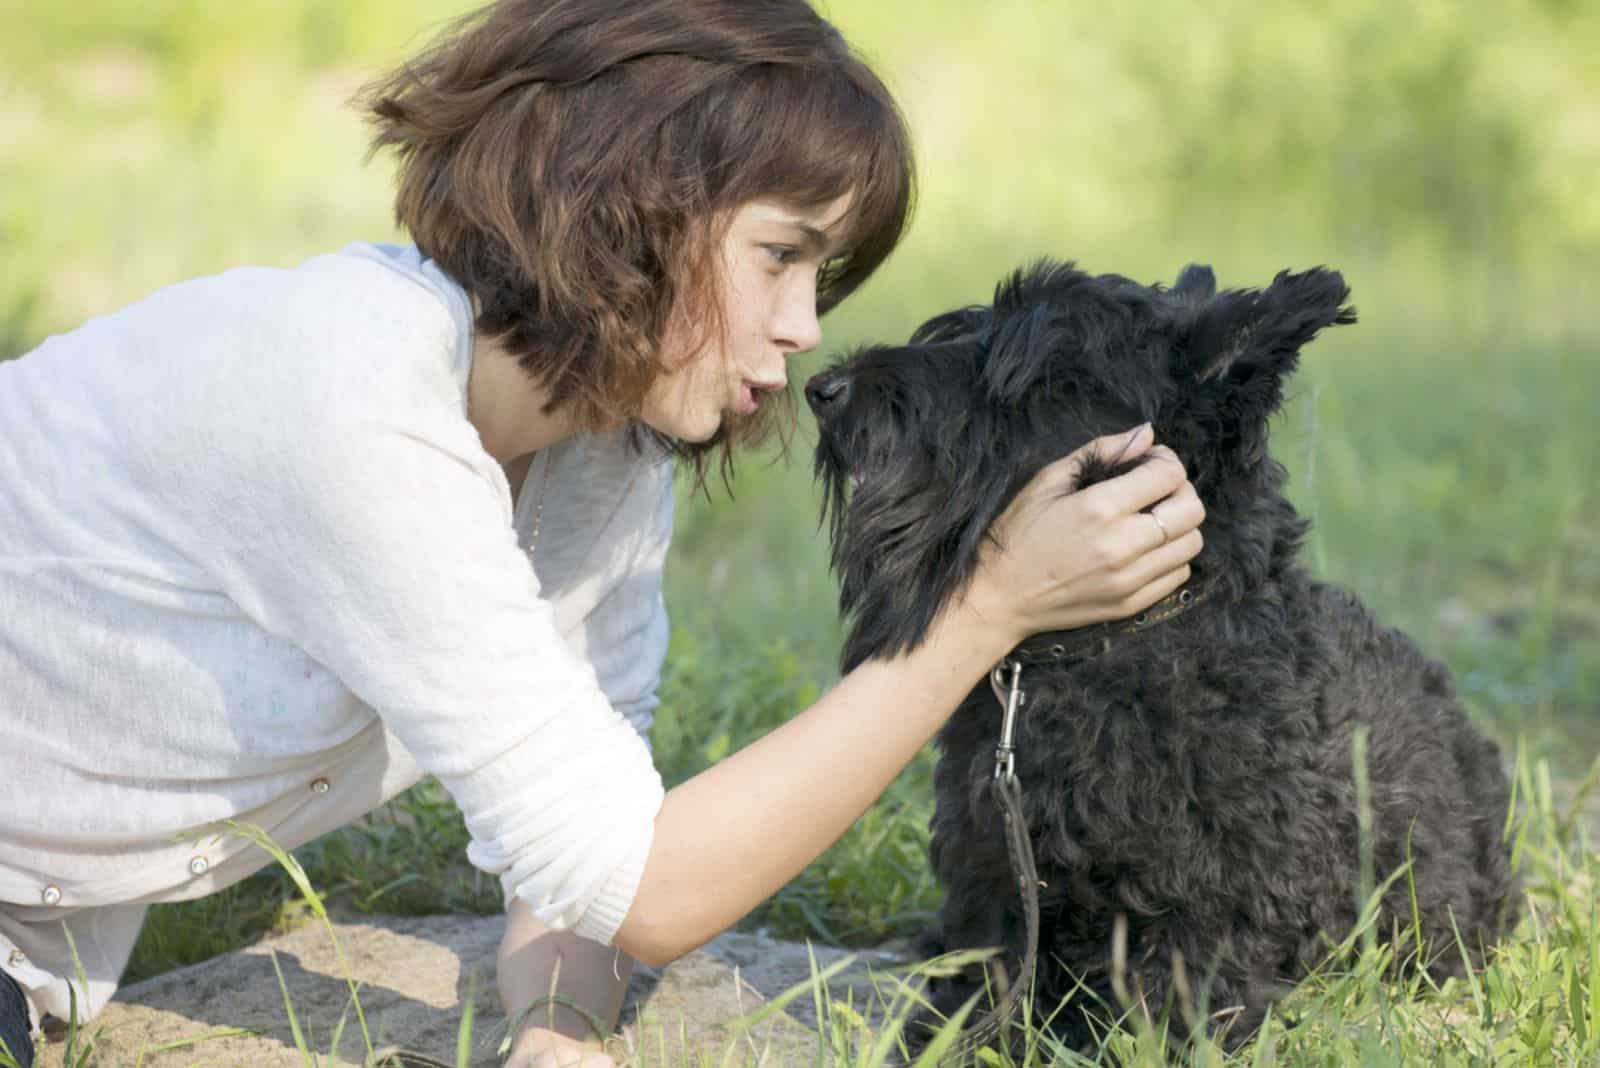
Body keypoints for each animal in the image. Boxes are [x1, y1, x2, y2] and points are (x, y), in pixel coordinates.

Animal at [806, 260, 1516, 1048]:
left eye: (1025, 365)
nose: (825, 388)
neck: (1111, 645)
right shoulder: (992, 869)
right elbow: (983, 976)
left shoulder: (1208, 899)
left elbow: (1184, 994)